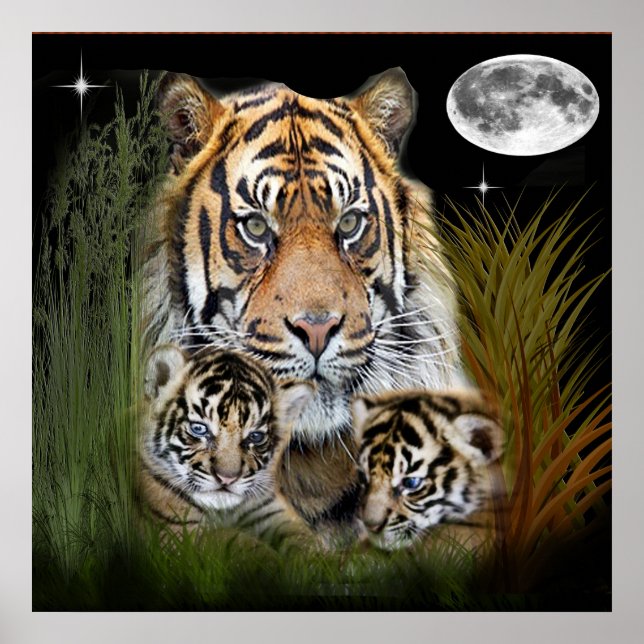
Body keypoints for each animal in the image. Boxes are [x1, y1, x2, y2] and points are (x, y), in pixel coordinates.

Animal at [138, 343, 315, 544]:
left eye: (255, 437)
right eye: (199, 428)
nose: (227, 479)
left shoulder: (270, 507)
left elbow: (305, 540)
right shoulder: (178, 530)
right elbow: (239, 542)